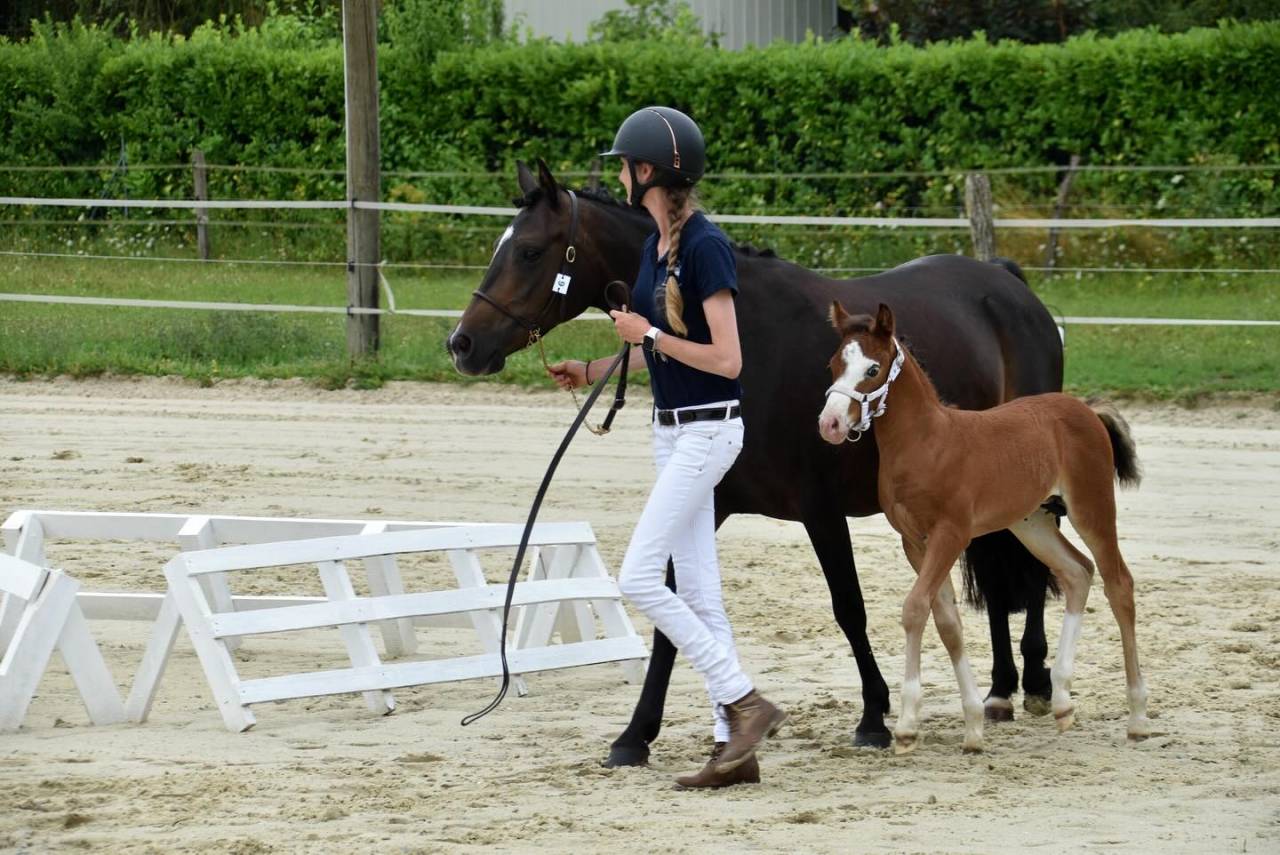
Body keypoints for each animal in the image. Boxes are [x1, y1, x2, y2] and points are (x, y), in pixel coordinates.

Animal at [446, 159, 1064, 765]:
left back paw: (1033, 681)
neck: (755, 342)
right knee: (998, 566)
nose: (462, 345)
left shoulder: (821, 510)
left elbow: (849, 608)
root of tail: (1008, 283)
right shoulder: (708, 501)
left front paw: (872, 716)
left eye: (529, 251)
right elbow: (673, 615)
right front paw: (636, 734)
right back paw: (1001, 688)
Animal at [818, 301, 1150, 752]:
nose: (830, 423)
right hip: (1032, 521)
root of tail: (1086, 410)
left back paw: (1137, 717)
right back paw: (1063, 702)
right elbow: (947, 621)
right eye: (834, 364)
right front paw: (973, 725)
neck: (926, 443)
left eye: (872, 368)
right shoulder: (915, 542)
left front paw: (905, 727)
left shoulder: (951, 534)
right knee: (1077, 571)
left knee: (1119, 584)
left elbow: (915, 608)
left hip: (1091, 506)